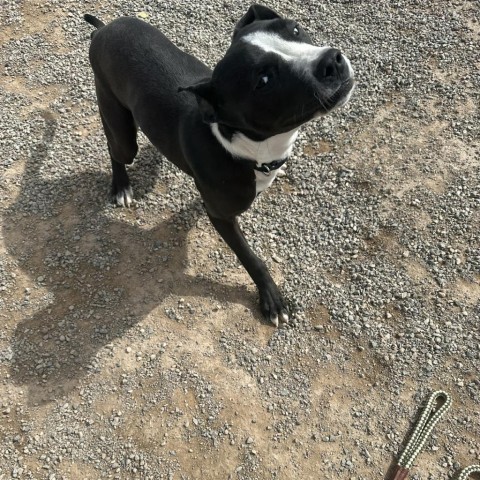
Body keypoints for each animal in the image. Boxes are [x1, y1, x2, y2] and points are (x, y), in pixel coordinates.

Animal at [84, 4, 354, 326]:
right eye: (263, 81)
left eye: (295, 29)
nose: (332, 60)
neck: (245, 147)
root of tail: (103, 29)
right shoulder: (221, 216)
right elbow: (251, 258)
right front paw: (272, 299)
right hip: (121, 129)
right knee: (116, 150)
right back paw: (121, 187)